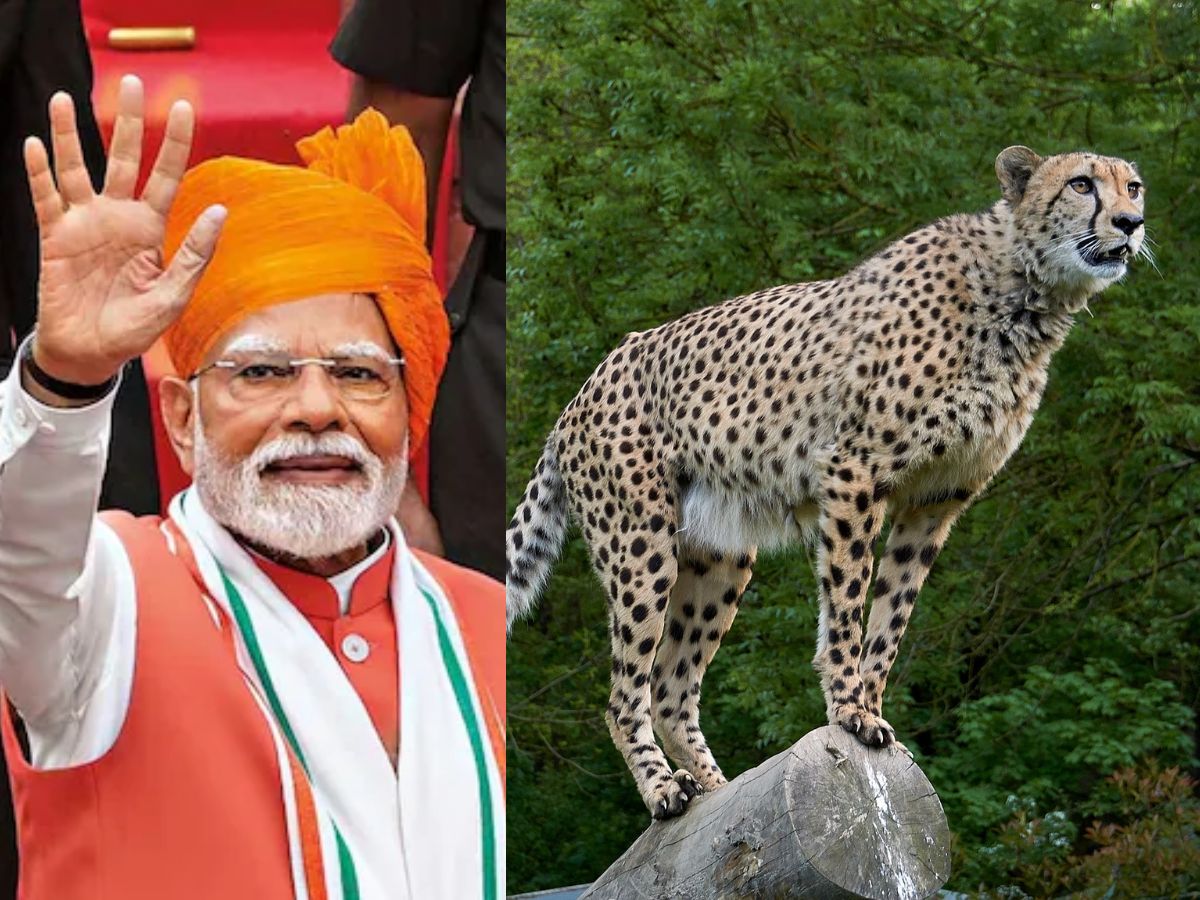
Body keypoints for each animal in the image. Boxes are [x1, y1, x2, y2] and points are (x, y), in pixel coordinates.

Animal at [506, 145, 1148, 819]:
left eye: (1133, 187)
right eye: (1082, 184)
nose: (1131, 223)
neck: (1025, 292)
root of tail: (581, 391)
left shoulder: (937, 499)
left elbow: (892, 614)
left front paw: (872, 708)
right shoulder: (853, 470)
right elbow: (848, 602)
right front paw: (848, 711)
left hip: (719, 556)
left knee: (671, 688)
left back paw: (719, 791)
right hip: (640, 541)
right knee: (624, 692)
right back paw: (664, 790)